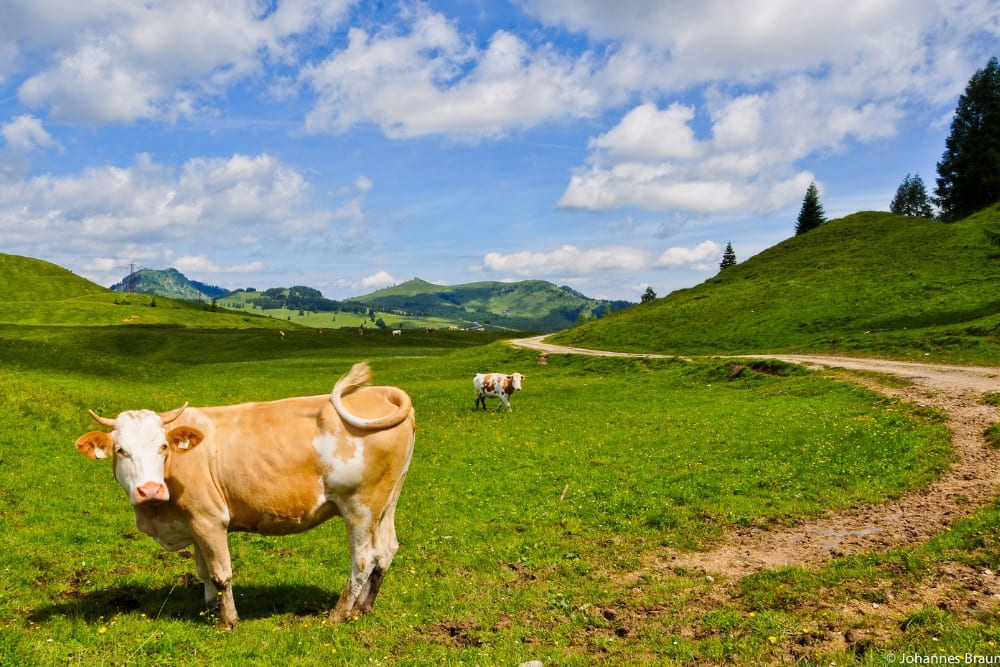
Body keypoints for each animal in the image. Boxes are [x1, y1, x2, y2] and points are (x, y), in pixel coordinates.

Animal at [72, 362, 412, 628]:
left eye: (163, 446)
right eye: (121, 450)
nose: (149, 490)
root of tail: (380, 392)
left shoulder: (210, 520)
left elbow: (221, 574)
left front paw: (229, 620)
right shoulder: (193, 524)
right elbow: (203, 571)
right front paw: (209, 610)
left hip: (360, 506)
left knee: (364, 558)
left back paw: (339, 614)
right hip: (386, 503)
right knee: (386, 550)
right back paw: (363, 608)